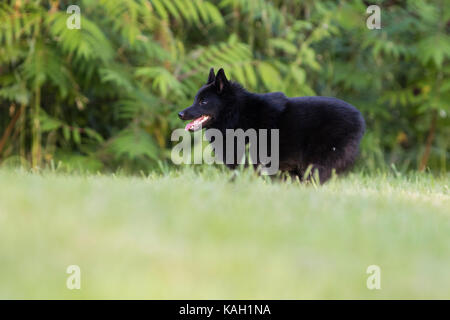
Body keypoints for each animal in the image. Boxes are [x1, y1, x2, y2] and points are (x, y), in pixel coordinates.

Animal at [178, 67, 364, 182]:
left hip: (316, 164)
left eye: (203, 102)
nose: (180, 114)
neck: (237, 113)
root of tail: (359, 118)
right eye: (196, 99)